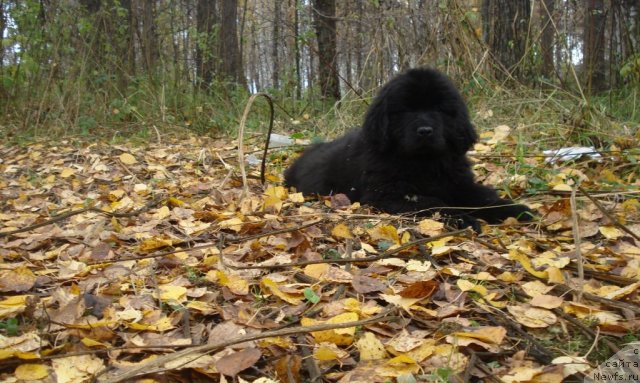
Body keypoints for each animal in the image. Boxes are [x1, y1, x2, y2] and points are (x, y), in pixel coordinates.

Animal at [284, 67, 528, 230]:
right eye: (406, 110)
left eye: (439, 109)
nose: (425, 130)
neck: (423, 162)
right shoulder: (389, 193)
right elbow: (432, 202)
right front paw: (462, 218)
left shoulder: (457, 181)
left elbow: (482, 197)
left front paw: (514, 209)